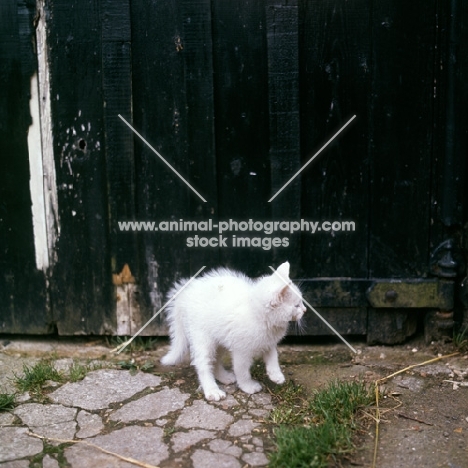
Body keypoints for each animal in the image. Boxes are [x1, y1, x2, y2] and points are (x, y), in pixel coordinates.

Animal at [161, 262, 308, 400]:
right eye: (296, 305)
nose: (305, 310)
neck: (258, 315)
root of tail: (187, 292)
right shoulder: (241, 351)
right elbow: (241, 370)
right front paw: (248, 386)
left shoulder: (268, 342)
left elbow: (273, 358)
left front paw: (276, 375)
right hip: (203, 338)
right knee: (203, 363)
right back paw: (212, 390)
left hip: (219, 339)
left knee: (215, 361)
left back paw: (224, 377)